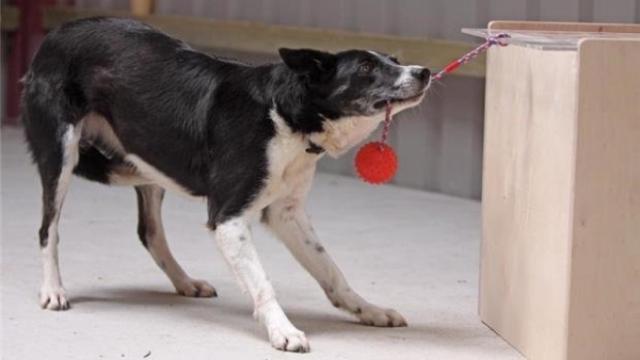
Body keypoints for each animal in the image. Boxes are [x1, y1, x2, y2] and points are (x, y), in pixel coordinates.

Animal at [22, 16, 430, 352]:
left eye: (394, 59)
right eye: (366, 67)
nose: (424, 71)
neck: (285, 115)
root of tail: (52, 37)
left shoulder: (286, 214)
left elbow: (331, 271)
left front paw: (369, 310)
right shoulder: (228, 218)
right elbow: (263, 282)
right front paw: (283, 330)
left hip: (150, 155)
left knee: (149, 233)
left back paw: (185, 282)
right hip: (61, 152)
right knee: (47, 229)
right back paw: (53, 290)